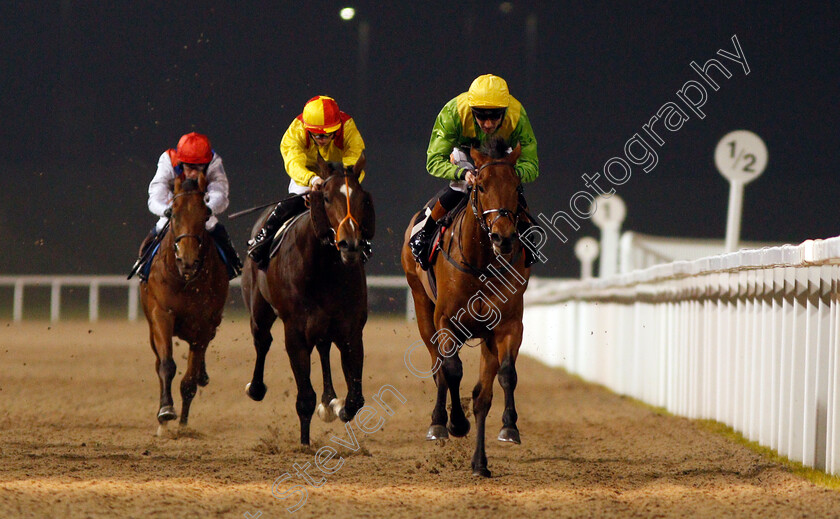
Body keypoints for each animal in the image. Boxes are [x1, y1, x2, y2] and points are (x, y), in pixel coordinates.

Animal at [140, 171, 228, 434]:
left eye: (205, 214)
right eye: (174, 214)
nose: (187, 260)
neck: (185, 280)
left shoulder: (205, 324)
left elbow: (189, 381)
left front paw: (183, 424)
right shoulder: (161, 314)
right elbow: (166, 365)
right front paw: (166, 412)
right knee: (158, 362)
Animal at [241, 152, 376, 444]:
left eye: (362, 198)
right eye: (325, 197)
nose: (350, 244)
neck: (323, 269)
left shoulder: (350, 330)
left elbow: (355, 399)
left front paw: (337, 405)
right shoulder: (295, 332)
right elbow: (304, 397)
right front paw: (304, 443)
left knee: (323, 348)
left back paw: (329, 400)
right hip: (259, 308)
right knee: (262, 340)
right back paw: (255, 388)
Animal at [402, 136, 532, 478]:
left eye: (516, 186)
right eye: (481, 186)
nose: (503, 237)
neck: (481, 263)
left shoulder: (506, 325)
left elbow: (501, 378)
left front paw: (507, 430)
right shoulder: (446, 320)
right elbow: (452, 370)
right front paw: (456, 423)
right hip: (422, 307)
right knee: (438, 367)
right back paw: (438, 423)